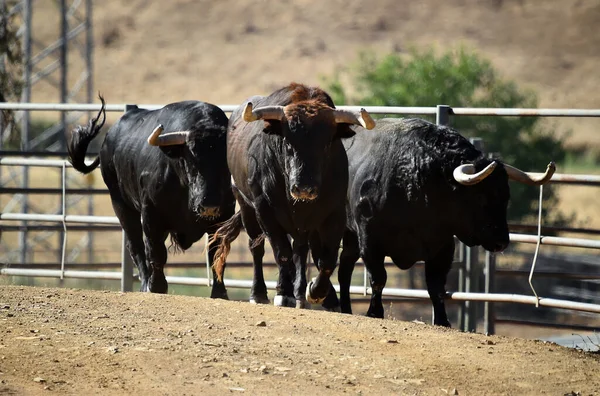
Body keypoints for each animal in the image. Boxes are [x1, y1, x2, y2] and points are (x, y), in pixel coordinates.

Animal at [66, 96, 234, 294]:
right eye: (190, 159)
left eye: (225, 161)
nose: (209, 205)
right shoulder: (152, 216)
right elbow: (155, 251)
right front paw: (157, 286)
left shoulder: (223, 218)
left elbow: (217, 253)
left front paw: (220, 293)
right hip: (121, 205)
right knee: (136, 246)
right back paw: (146, 283)